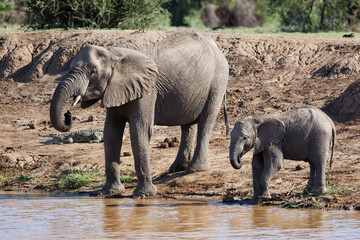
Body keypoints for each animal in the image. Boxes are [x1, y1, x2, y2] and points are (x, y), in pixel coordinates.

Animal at [49, 31, 229, 197]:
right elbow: (111, 132)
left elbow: (139, 130)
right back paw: (177, 168)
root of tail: (216, 47)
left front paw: (144, 195)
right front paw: (110, 193)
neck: (114, 54)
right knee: (187, 124)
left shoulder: (147, 90)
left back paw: (194, 170)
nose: (68, 114)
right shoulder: (115, 89)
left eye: (93, 72)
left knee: (206, 120)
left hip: (218, 80)